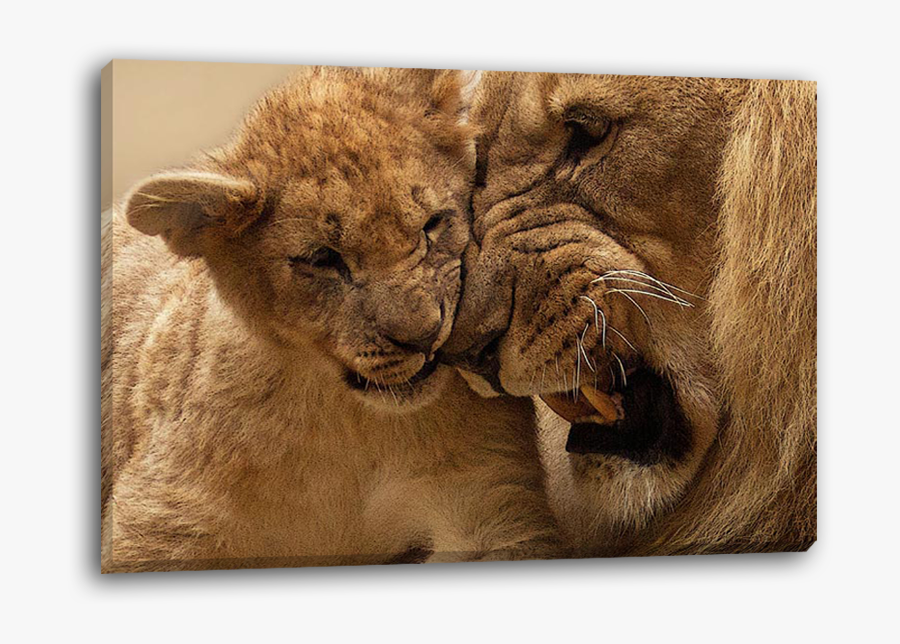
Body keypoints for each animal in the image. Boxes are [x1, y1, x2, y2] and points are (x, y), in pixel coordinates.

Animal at [100, 67, 560, 572]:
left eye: (433, 224)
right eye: (322, 259)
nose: (425, 338)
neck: (348, 423)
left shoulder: (487, 501)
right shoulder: (161, 525)